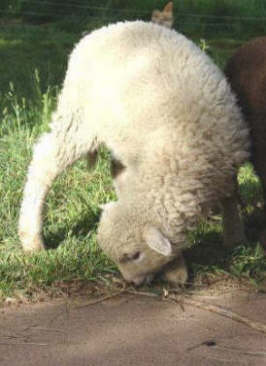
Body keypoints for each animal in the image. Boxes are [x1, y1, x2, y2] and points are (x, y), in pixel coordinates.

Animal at [18, 21, 249, 286]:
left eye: (135, 255)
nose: (132, 283)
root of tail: (103, 30)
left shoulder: (226, 165)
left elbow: (230, 196)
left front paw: (234, 238)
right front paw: (177, 270)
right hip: (78, 118)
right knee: (44, 163)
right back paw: (32, 239)